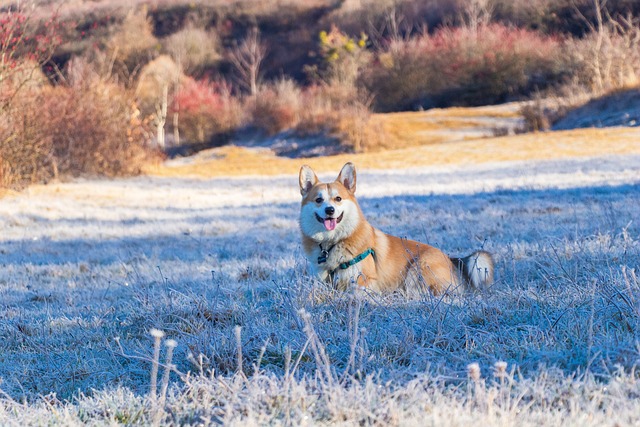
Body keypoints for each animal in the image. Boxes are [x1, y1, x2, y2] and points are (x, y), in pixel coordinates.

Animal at [300, 162, 496, 296]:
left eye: (338, 199)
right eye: (318, 200)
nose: (329, 210)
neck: (333, 242)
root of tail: (452, 260)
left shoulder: (364, 281)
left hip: (417, 269)